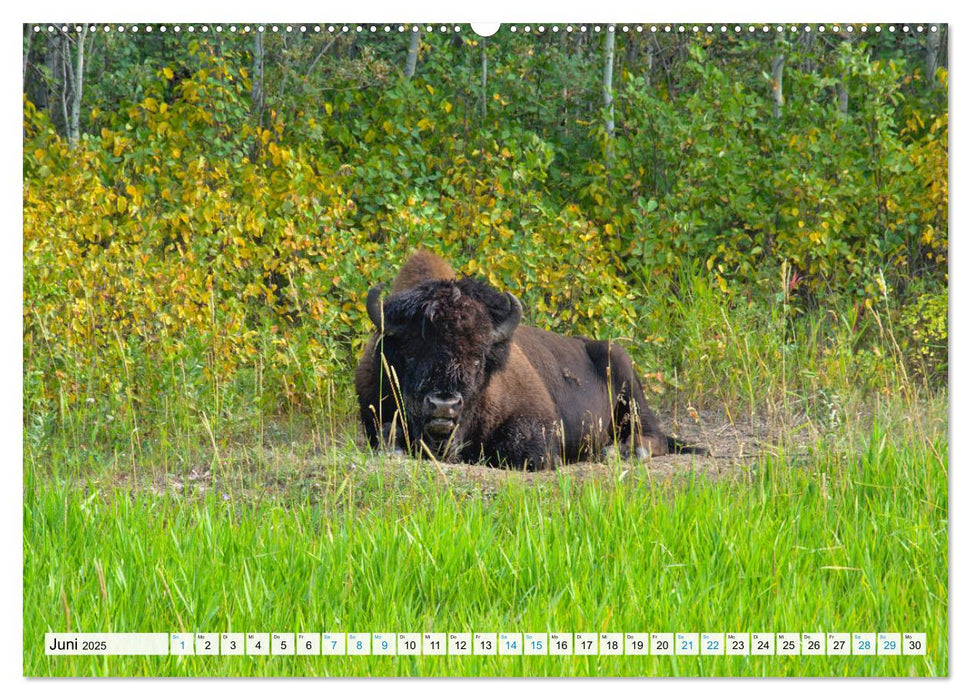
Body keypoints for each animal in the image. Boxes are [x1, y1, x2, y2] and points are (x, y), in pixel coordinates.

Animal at [354, 252, 704, 470]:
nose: (444, 405)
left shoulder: (537, 424)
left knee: (653, 436)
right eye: (412, 353)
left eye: (479, 358)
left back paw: (618, 452)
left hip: (627, 383)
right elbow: (387, 434)